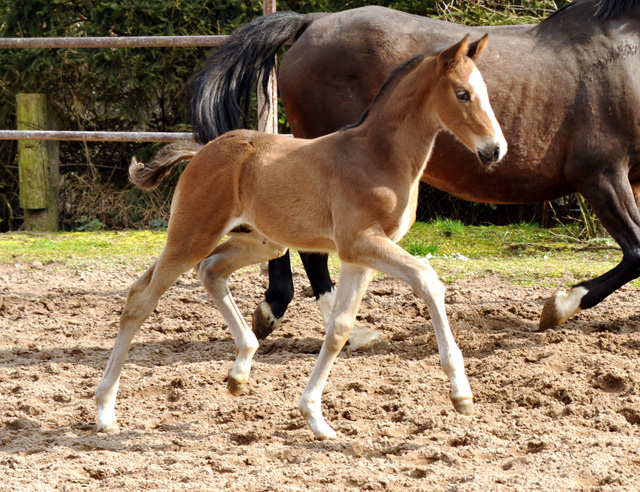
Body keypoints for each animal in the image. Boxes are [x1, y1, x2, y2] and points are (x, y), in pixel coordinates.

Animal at [95, 36, 504, 440]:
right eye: (463, 94)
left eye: (485, 91)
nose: (495, 149)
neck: (378, 156)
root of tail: (201, 151)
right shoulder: (361, 242)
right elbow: (427, 280)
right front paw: (461, 395)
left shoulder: (358, 256)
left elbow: (339, 328)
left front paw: (315, 417)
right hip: (192, 235)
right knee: (141, 299)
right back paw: (104, 411)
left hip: (261, 242)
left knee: (207, 272)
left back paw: (239, 372)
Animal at [189, 0, 640, 338]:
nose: (495, 149)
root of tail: (314, 21)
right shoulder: (601, 175)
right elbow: (636, 253)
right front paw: (559, 306)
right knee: (309, 250)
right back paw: (345, 330)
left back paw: (274, 308)